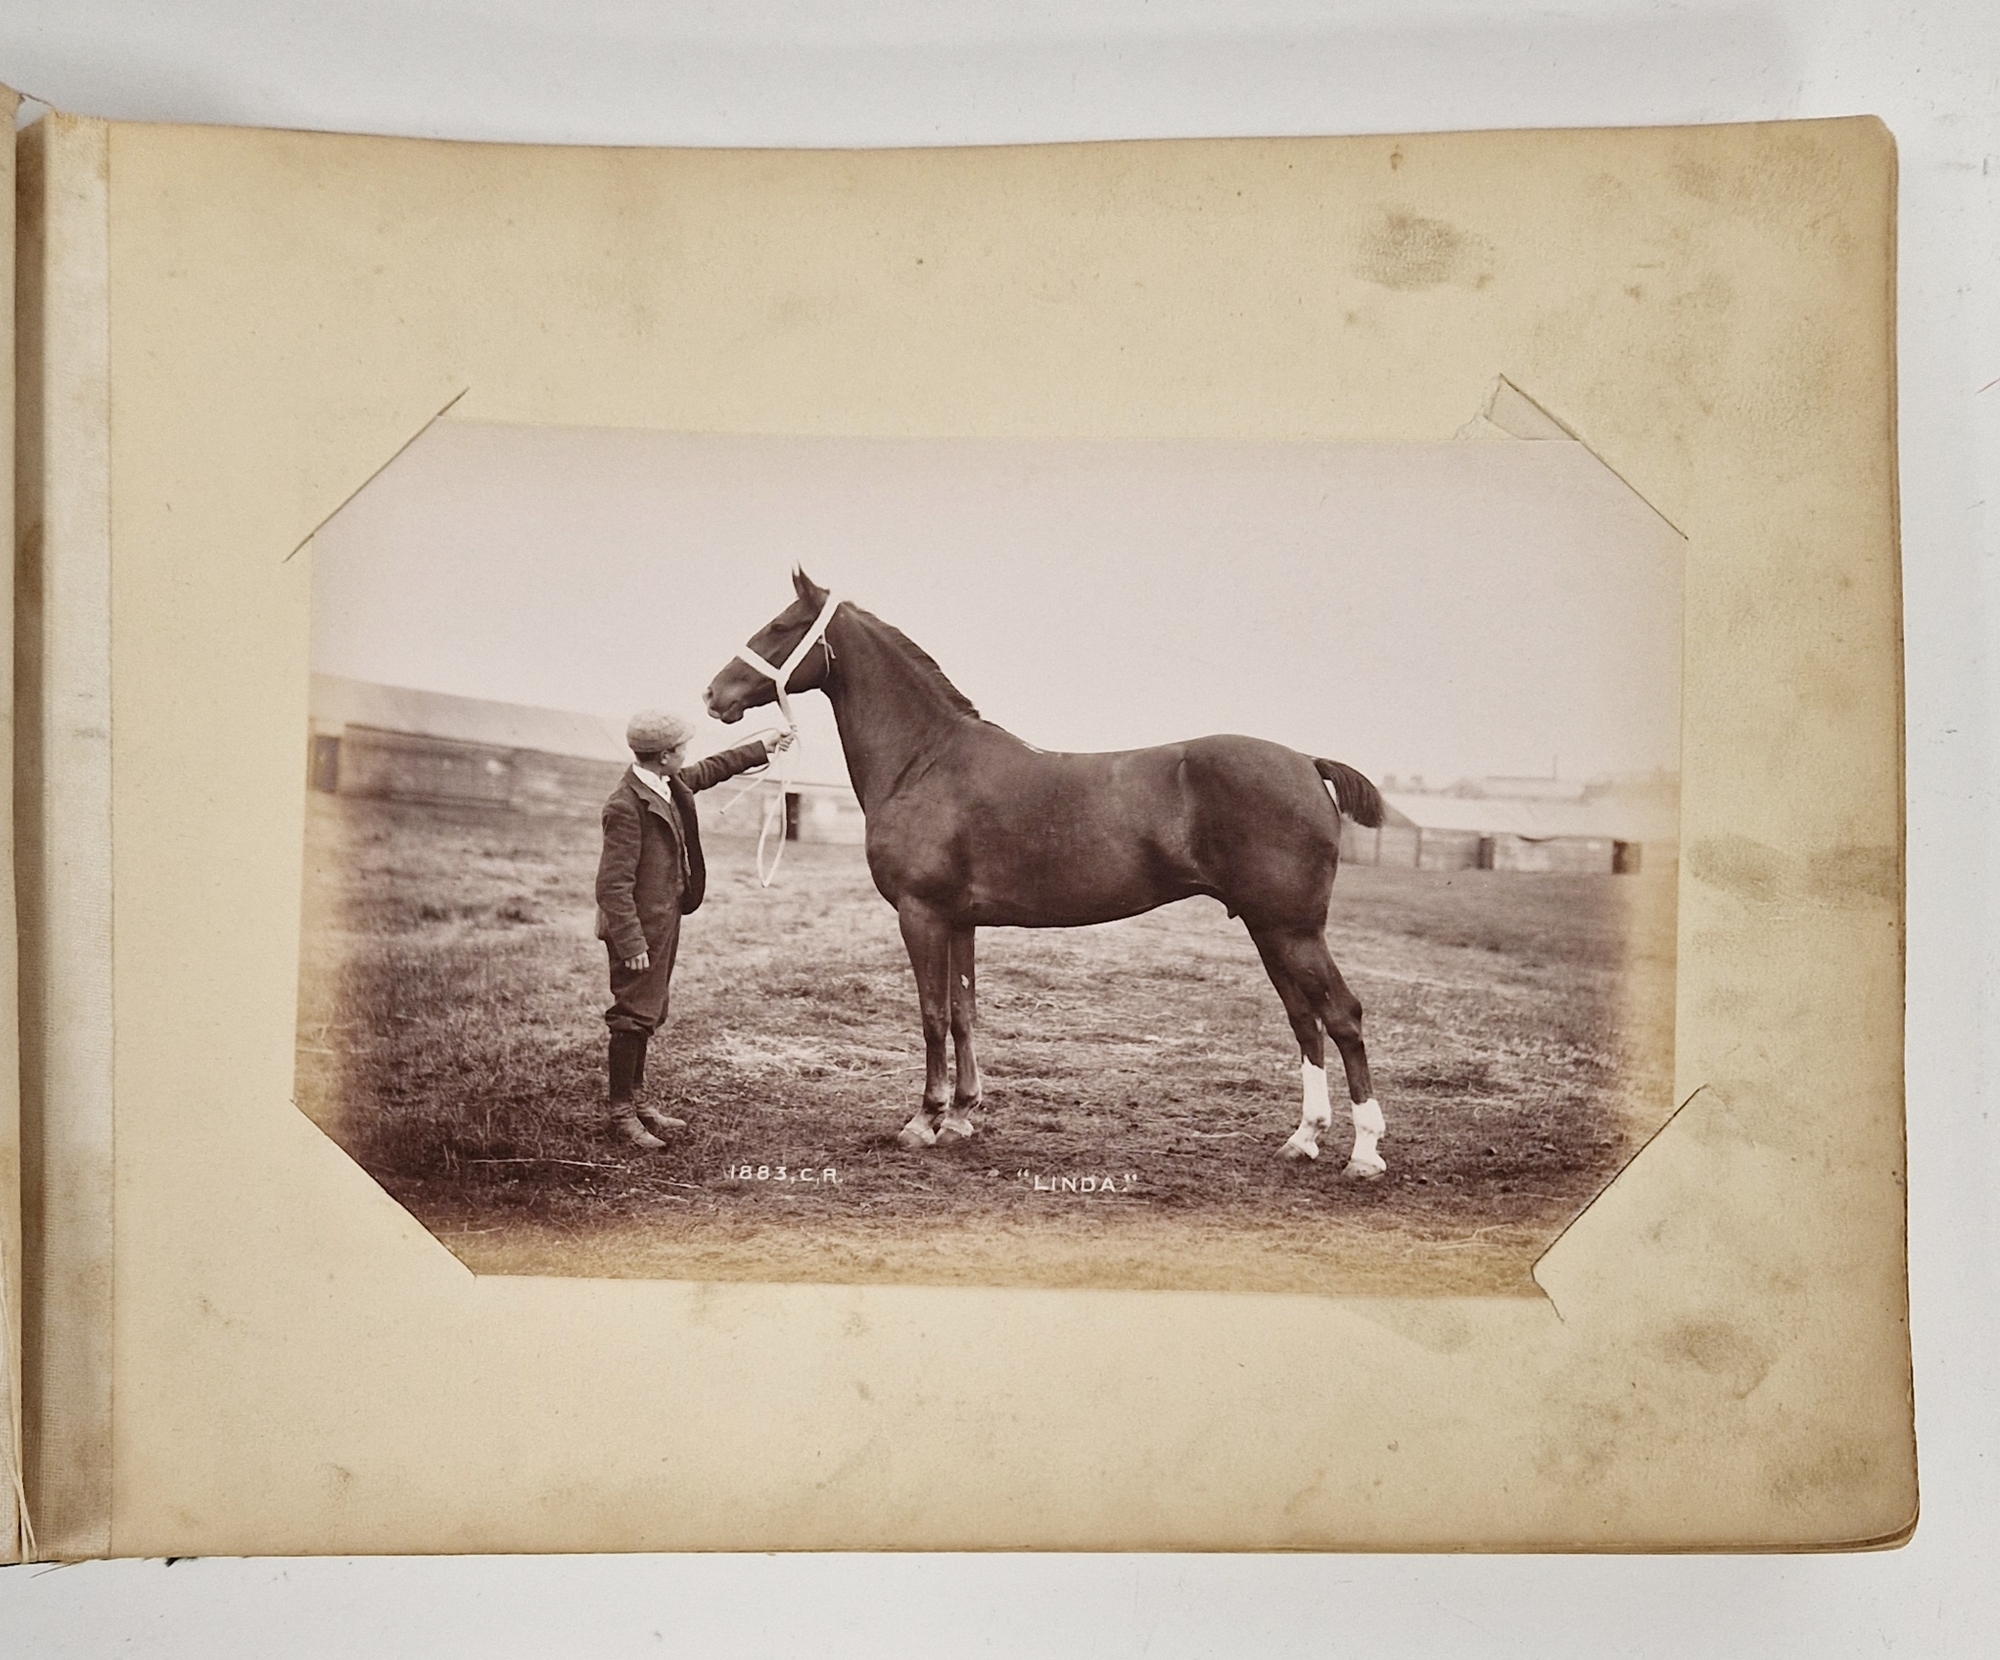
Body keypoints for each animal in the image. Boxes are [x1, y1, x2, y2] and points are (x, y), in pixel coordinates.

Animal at [704, 580, 1392, 1176]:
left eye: (781, 626)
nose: (713, 695)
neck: (925, 759)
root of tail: (1306, 762)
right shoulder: (960, 921)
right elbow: (964, 1012)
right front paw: (961, 1117)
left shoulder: (921, 913)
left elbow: (931, 1013)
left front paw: (924, 1121)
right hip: (1268, 929)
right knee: (1305, 1020)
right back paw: (1303, 1139)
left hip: (1291, 930)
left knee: (1342, 1015)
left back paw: (1364, 1155)